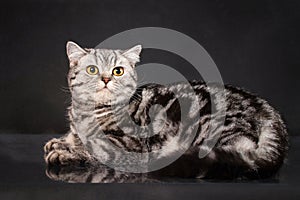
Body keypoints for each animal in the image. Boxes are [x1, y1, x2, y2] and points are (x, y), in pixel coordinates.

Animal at [42, 41, 288, 180]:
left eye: (118, 71)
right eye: (92, 70)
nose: (105, 79)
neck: (86, 112)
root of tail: (269, 111)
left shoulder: (130, 143)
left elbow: (94, 148)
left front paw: (65, 152)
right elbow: (74, 137)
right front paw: (59, 142)